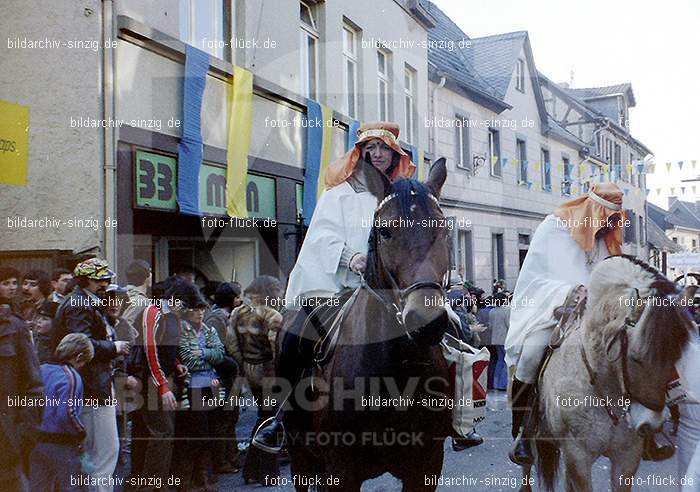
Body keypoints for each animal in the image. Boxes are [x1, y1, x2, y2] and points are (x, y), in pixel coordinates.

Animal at [284, 160, 454, 490]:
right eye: (385, 231)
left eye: (443, 229)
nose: (426, 321)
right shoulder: (340, 471)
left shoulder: (426, 465)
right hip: (300, 457)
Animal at [524, 256, 696, 490]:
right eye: (635, 358)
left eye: (677, 355)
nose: (651, 425)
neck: (604, 390)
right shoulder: (578, 457)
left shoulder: (627, 458)